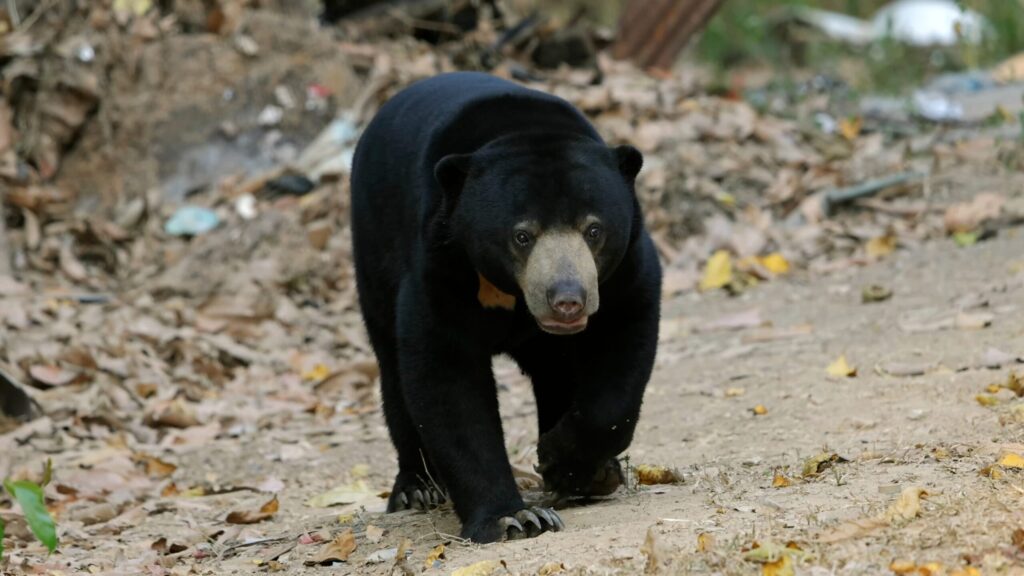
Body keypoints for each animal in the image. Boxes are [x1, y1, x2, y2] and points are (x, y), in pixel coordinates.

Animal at [350, 72, 661, 543]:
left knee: (556, 373)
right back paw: (417, 488)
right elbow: (446, 375)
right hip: (372, 249)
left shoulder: (624, 270)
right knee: (392, 366)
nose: (567, 299)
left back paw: (594, 473)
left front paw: (563, 463)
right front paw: (515, 518)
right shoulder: (441, 262)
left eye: (594, 230)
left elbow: (622, 346)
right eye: (522, 235)